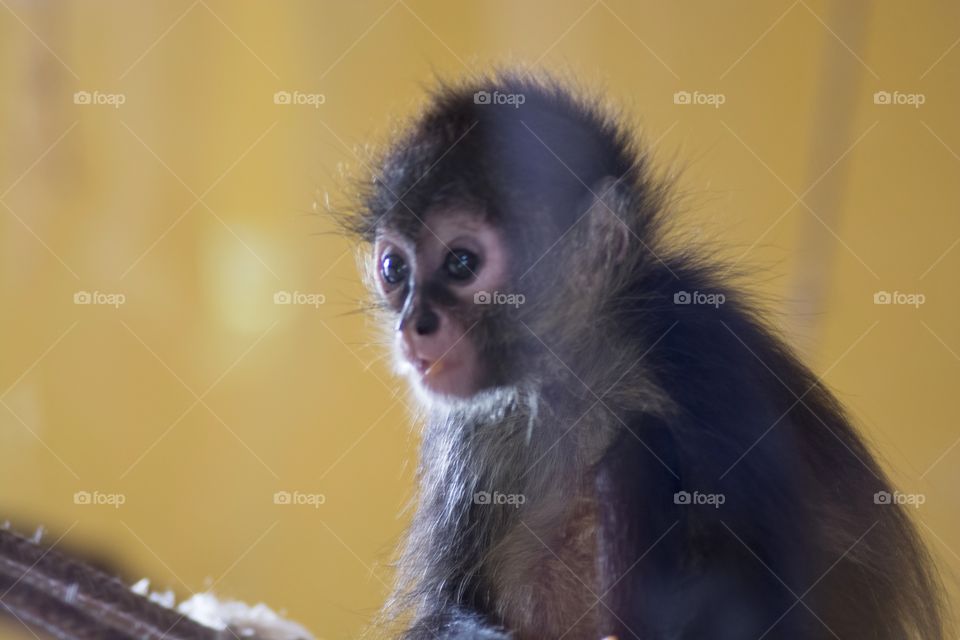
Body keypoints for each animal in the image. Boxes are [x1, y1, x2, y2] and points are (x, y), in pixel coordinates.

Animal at [339, 71, 947, 640]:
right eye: (394, 269)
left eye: (461, 263)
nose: (414, 325)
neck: (581, 375)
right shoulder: (474, 429)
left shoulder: (694, 344)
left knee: (638, 443)